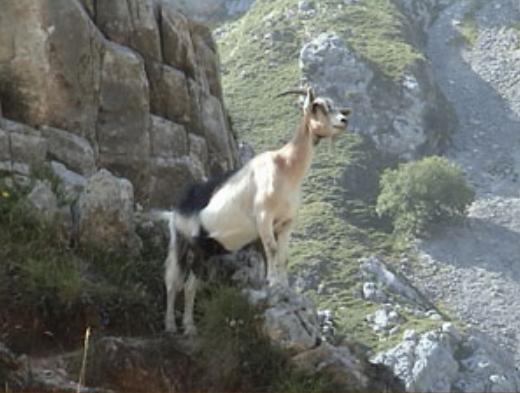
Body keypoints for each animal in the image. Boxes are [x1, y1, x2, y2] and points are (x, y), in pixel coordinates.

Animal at [166, 87, 354, 332]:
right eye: (317, 107)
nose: (343, 120)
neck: (285, 168)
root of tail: (179, 207)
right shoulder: (264, 218)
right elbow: (272, 250)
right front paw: (272, 284)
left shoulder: (287, 222)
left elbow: (284, 256)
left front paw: (285, 287)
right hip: (185, 244)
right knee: (177, 283)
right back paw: (176, 326)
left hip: (205, 249)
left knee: (188, 284)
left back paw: (184, 326)